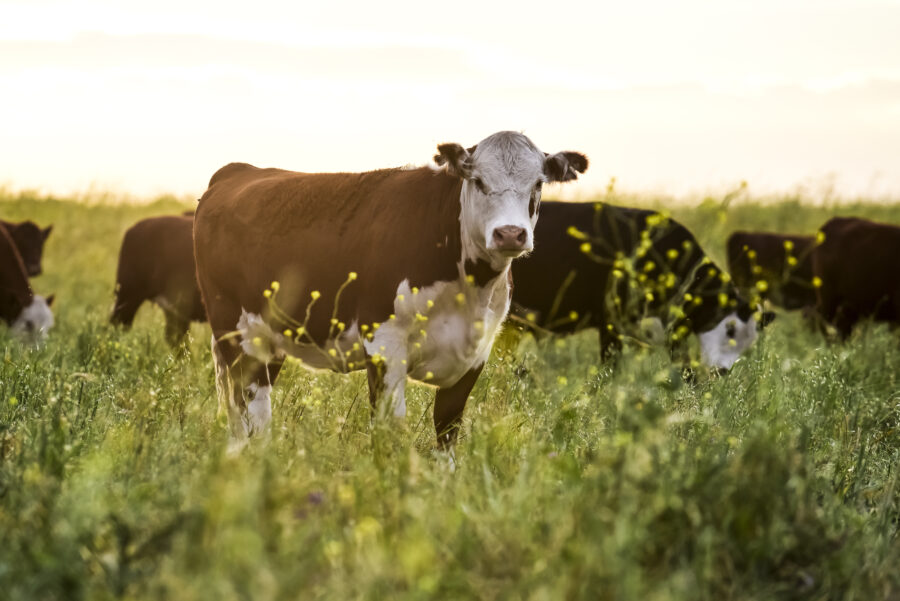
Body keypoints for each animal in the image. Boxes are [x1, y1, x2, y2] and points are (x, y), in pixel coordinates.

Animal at [195, 132, 592, 450]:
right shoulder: (384, 342)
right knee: (248, 407)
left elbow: (447, 430)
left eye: (538, 184)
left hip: (270, 338)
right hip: (235, 332)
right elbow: (390, 429)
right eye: (478, 180)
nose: (510, 233)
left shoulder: (475, 352)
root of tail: (239, 170)